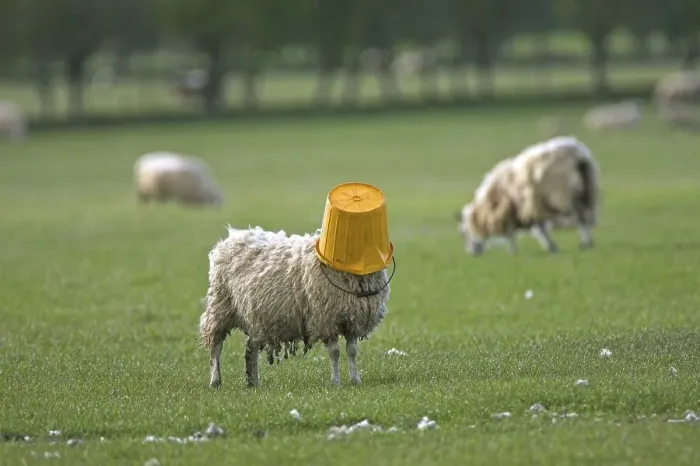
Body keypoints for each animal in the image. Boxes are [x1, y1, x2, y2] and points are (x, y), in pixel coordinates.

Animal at [199, 226, 392, 388]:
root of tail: (234, 237)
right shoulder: (326, 319)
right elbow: (335, 352)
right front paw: (336, 382)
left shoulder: (353, 319)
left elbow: (351, 352)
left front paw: (355, 380)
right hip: (221, 306)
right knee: (216, 345)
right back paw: (215, 381)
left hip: (257, 316)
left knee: (250, 348)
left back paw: (253, 381)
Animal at [456, 136, 599, 255]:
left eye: (464, 232)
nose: (472, 253)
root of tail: (578, 156)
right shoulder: (532, 209)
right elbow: (540, 229)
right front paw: (551, 247)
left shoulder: (512, 210)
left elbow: (517, 233)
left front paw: (513, 251)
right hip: (587, 192)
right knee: (585, 217)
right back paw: (589, 243)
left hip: (564, 196)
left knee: (580, 219)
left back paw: (585, 243)